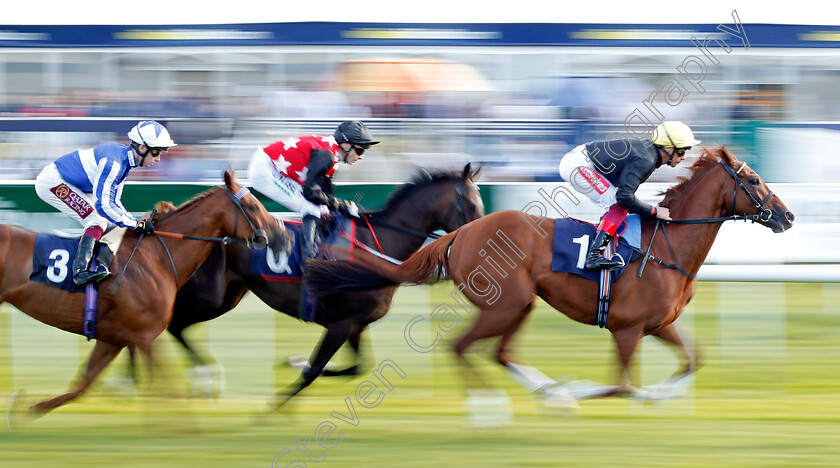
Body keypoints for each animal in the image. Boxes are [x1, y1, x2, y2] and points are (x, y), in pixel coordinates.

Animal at [0, 171, 286, 414]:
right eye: (252, 206)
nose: (281, 235)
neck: (157, 255)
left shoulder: (113, 338)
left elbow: (82, 385)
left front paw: (26, 408)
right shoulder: (144, 335)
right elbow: (166, 390)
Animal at [163, 162, 482, 402]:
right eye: (469, 204)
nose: (481, 238)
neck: (377, 248)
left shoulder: (356, 323)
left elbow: (356, 367)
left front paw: (298, 362)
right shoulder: (340, 323)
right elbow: (312, 371)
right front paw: (272, 408)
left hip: (229, 295)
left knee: (174, 324)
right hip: (208, 296)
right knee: (173, 323)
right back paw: (201, 379)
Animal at [306, 148, 796, 404]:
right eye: (754, 180)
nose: (787, 216)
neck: (667, 246)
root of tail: (462, 231)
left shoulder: (658, 324)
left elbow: (692, 360)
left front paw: (661, 395)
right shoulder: (627, 329)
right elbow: (621, 386)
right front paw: (577, 389)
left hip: (520, 303)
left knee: (498, 353)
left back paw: (540, 394)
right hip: (504, 303)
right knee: (465, 347)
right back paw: (497, 408)